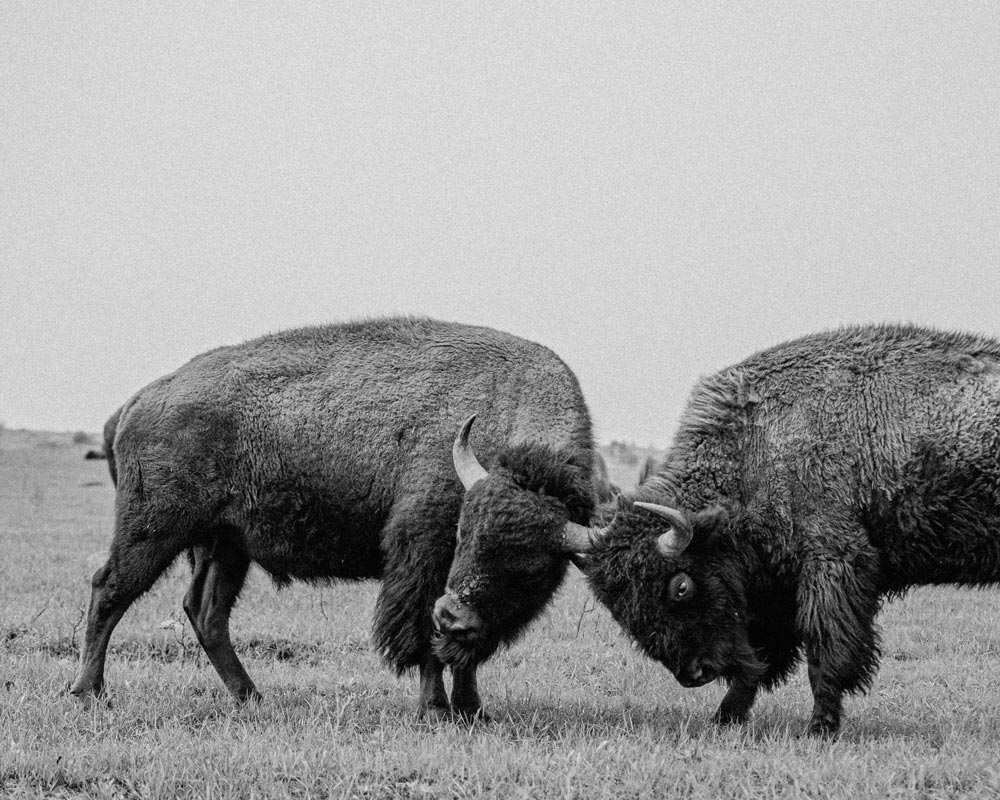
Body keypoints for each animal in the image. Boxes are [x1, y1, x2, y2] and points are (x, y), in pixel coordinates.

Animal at [72, 318, 600, 720]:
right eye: (462, 535)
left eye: (533, 569)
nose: (455, 616)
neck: (501, 409)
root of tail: (136, 403)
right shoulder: (422, 565)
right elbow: (423, 641)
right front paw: (435, 710)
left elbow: (465, 656)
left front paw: (473, 711)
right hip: (153, 531)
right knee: (110, 590)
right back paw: (89, 693)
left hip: (224, 546)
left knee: (206, 612)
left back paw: (252, 697)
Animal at [442, 322, 1000, 736]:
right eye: (621, 612)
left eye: (681, 586)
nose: (694, 674)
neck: (756, 450)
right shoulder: (772, 593)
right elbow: (758, 661)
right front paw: (725, 717)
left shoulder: (832, 565)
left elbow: (825, 652)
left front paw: (819, 728)